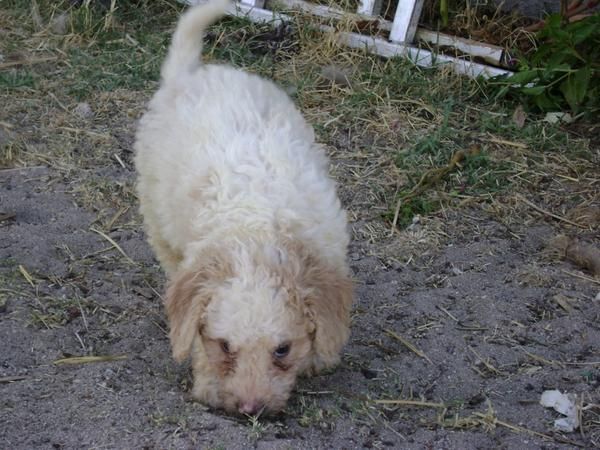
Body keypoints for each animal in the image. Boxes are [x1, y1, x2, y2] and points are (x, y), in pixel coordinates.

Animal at [134, 0, 354, 414]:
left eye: (282, 350)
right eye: (224, 346)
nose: (251, 409)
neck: (260, 230)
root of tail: (192, 73)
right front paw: (208, 384)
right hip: (155, 208)